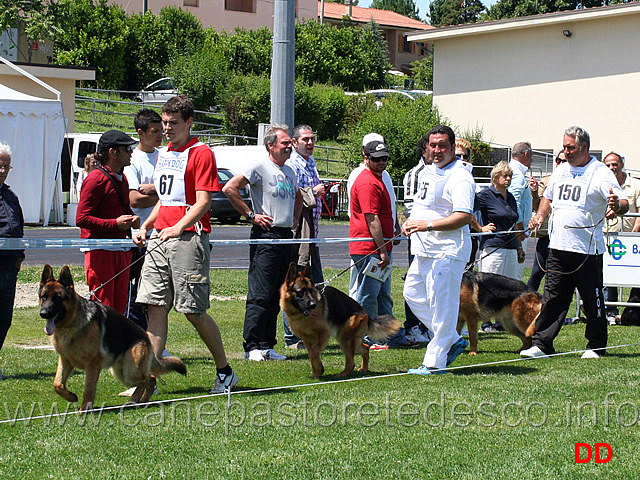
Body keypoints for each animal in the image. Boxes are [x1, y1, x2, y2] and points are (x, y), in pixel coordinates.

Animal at [39, 264, 186, 410]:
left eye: (57, 298)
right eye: (44, 297)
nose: (43, 313)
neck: (70, 325)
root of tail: (146, 338)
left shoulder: (92, 364)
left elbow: (88, 389)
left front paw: (84, 409)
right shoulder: (65, 361)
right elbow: (57, 384)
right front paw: (71, 396)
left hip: (130, 372)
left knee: (148, 379)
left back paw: (134, 400)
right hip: (120, 372)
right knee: (150, 378)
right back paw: (142, 401)